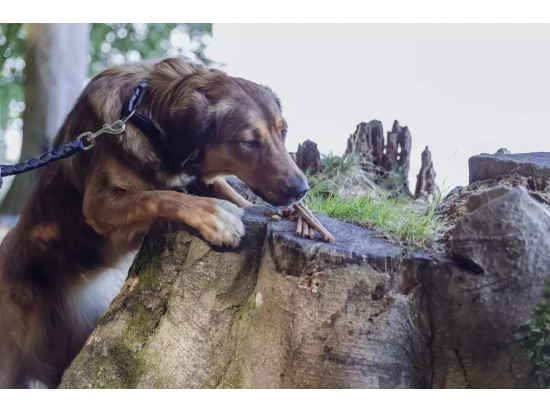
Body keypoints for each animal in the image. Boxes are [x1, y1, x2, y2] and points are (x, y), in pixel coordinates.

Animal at [0, 56, 310, 388]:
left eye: (283, 132)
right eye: (249, 142)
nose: (302, 189)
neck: (142, 113)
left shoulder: (196, 176)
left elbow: (227, 193)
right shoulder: (97, 204)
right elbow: (160, 196)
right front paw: (215, 215)